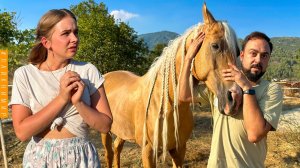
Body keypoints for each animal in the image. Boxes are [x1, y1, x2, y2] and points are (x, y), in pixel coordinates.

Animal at [102, 3, 240, 168]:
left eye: (238, 51)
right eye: (215, 46)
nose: (235, 98)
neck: (165, 103)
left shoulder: (179, 149)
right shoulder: (148, 151)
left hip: (122, 131)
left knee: (117, 148)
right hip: (105, 132)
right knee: (109, 153)